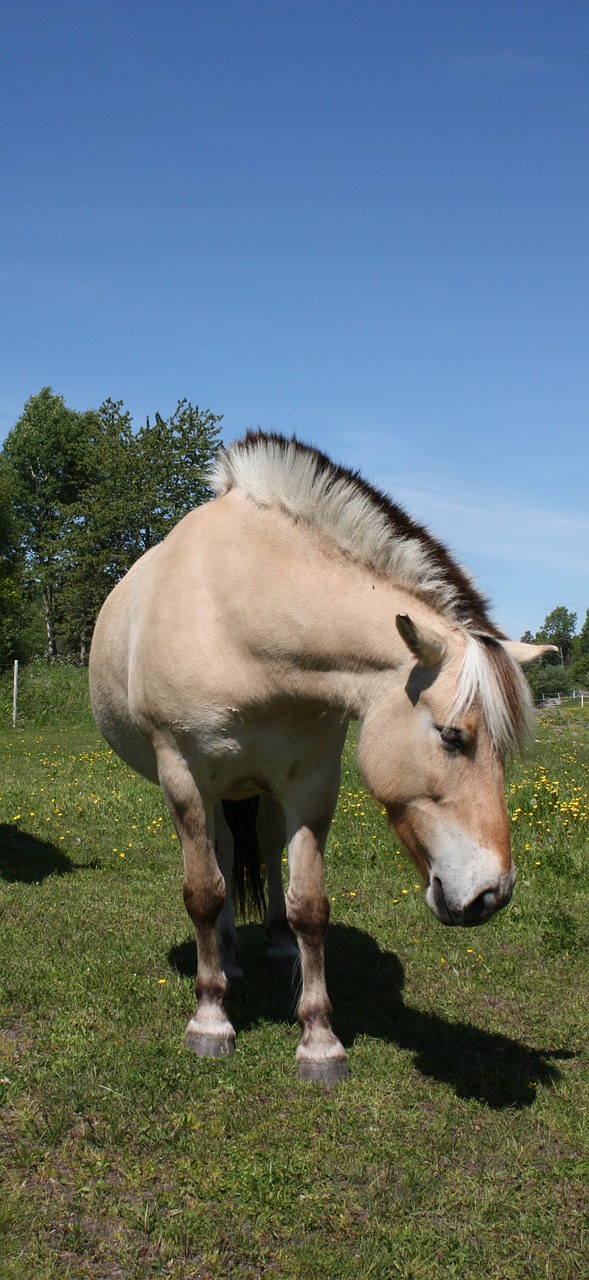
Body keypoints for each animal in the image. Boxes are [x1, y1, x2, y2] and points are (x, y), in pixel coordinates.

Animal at [88, 430, 553, 1080]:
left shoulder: (310, 784)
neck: (239, 620)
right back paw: (226, 963)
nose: (493, 895)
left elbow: (309, 904)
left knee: (257, 852)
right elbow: (204, 893)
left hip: (258, 791)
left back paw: (276, 948)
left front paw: (318, 1040)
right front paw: (210, 1020)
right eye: (452, 737)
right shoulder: (184, 778)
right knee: (222, 861)